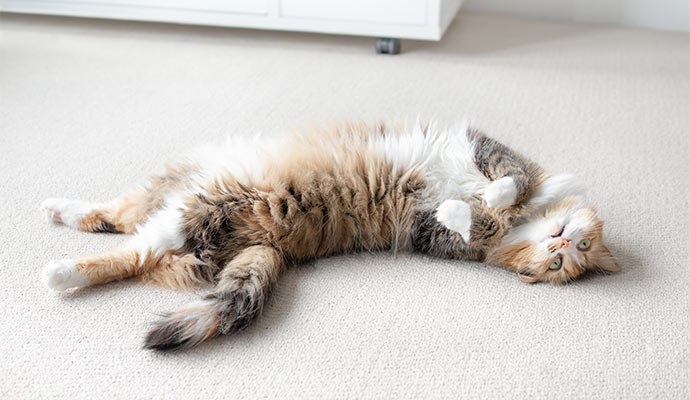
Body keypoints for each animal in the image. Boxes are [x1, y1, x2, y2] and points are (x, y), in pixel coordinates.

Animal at [39, 122, 620, 350]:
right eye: (578, 249)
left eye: (560, 267)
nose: (561, 245)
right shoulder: (493, 150)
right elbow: (512, 180)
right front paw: (498, 197)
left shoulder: (433, 233)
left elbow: (463, 216)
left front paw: (467, 206)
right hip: (182, 183)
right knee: (116, 215)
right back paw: (56, 208)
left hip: (195, 210)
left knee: (132, 252)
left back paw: (58, 272)